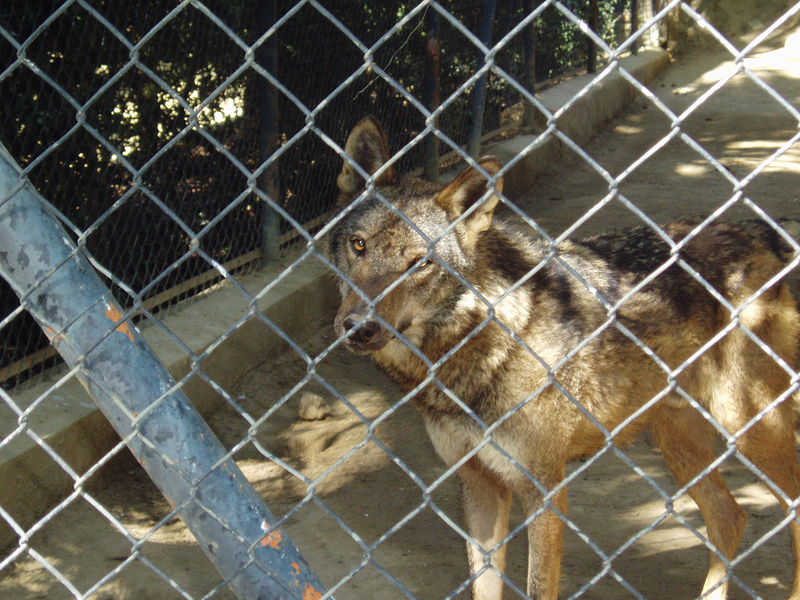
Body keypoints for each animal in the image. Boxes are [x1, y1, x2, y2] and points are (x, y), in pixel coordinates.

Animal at [329, 116, 800, 600]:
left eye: (420, 264)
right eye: (359, 245)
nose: (360, 327)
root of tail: (758, 231)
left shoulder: (546, 491)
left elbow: (539, 586)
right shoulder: (479, 484)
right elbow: (484, 585)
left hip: (750, 428)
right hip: (678, 442)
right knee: (731, 516)